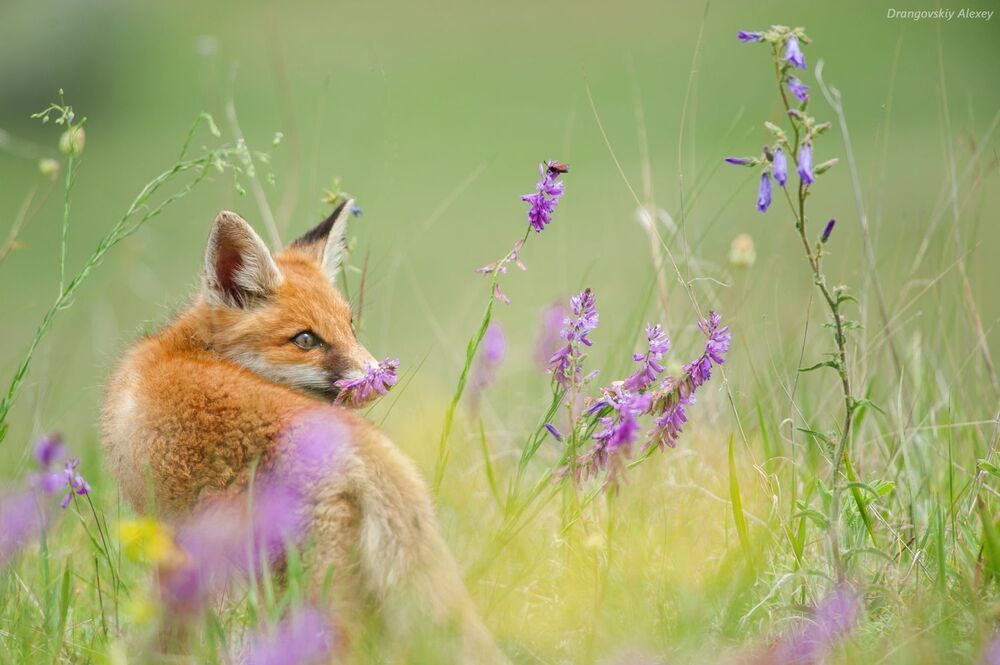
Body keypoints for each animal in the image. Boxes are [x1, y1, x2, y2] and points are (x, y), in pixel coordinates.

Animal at [101, 200, 504, 662]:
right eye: (306, 339)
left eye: (349, 327)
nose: (379, 377)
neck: (189, 347)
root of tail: (367, 446)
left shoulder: (172, 538)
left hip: (309, 588)